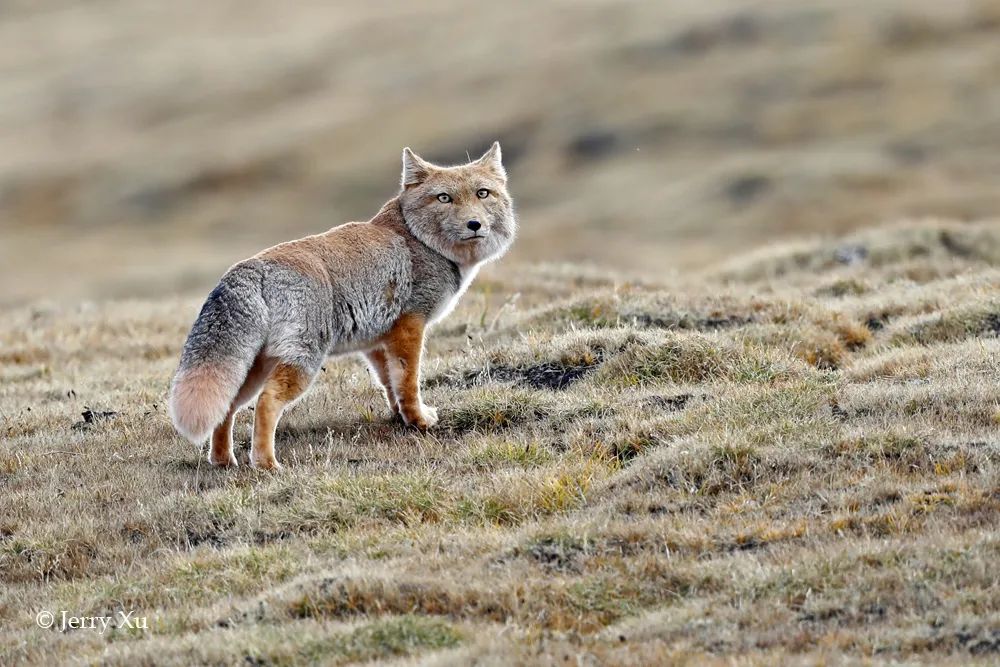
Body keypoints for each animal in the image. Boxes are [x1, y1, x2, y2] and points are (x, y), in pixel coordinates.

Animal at [169, 144, 516, 470]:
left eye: (482, 193)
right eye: (444, 198)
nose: (474, 224)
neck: (418, 240)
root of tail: (251, 267)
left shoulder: (376, 341)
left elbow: (390, 384)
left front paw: (400, 418)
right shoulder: (410, 326)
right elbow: (408, 382)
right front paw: (418, 420)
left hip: (253, 368)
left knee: (227, 408)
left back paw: (223, 460)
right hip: (303, 362)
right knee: (267, 403)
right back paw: (266, 464)